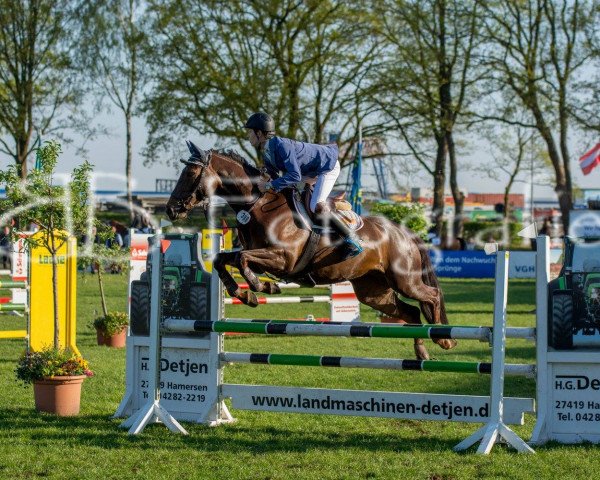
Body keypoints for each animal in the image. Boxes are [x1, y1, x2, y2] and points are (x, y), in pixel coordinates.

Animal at [164, 142, 454, 360]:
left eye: (190, 174)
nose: (171, 210)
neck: (257, 204)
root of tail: (404, 232)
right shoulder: (261, 256)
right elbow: (224, 259)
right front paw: (247, 294)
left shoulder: (283, 259)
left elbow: (242, 259)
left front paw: (260, 288)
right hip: (373, 290)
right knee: (410, 312)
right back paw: (422, 352)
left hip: (404, 280)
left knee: (430, 295)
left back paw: (444, 339)